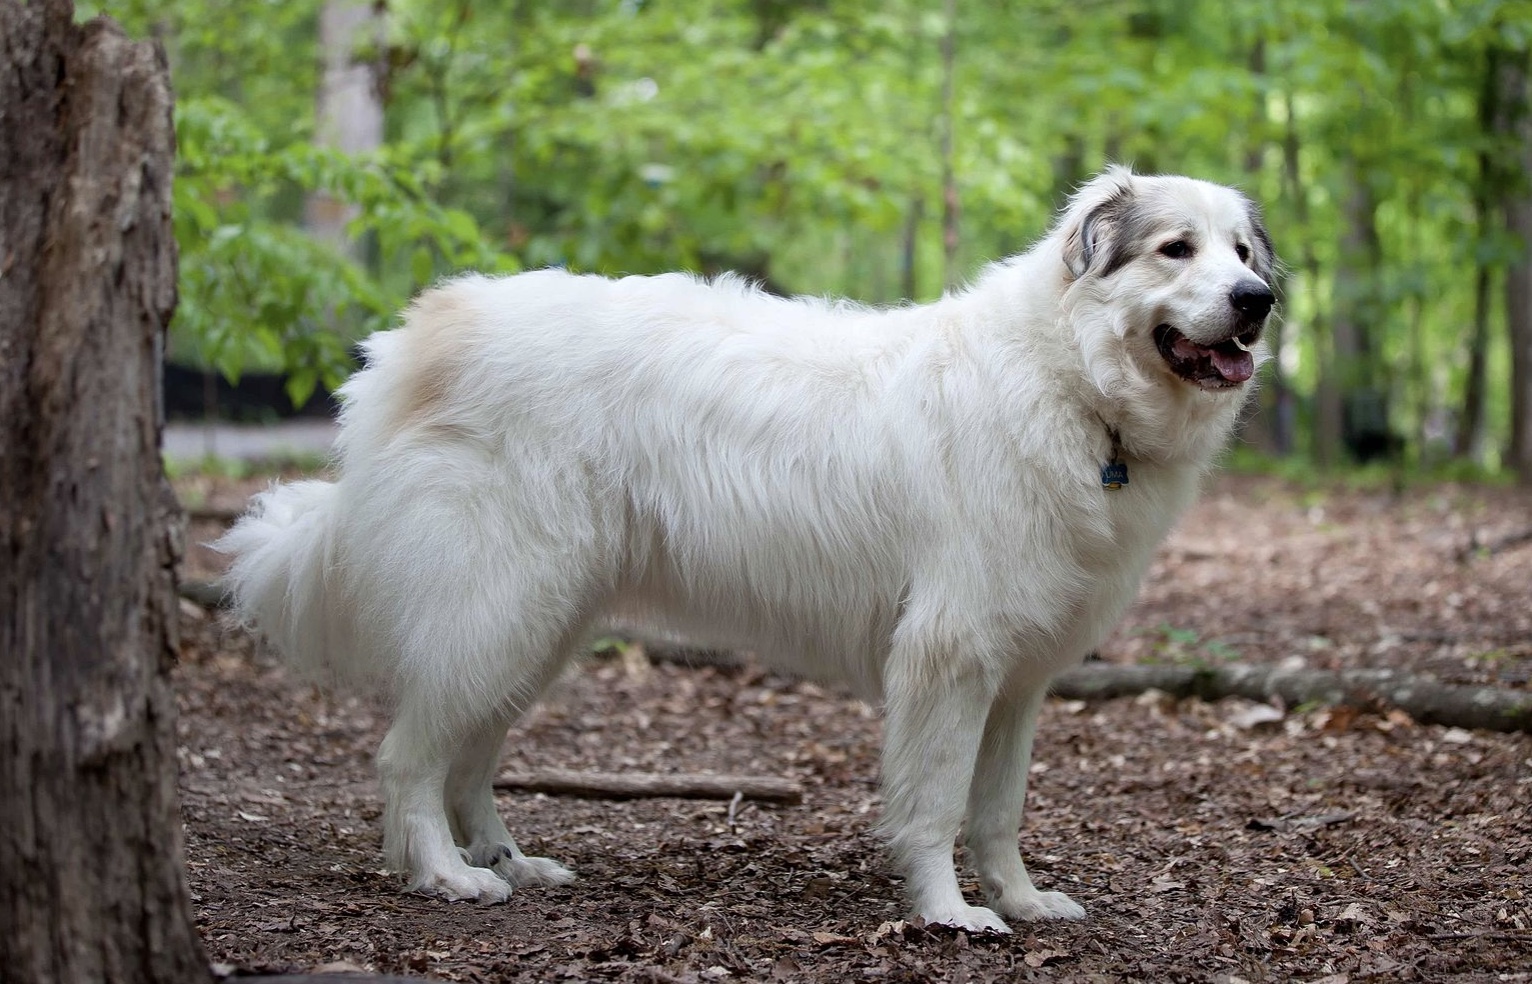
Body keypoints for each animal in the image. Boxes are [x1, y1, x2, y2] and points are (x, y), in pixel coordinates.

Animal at [222, 167, 1274, 925]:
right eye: (1176, 249)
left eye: (1241, 250)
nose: (1258, 298)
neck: (1072, 384)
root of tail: (420, 333)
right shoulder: (951, 657)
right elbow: (937, 804)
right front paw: (949, 915)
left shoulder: (1017, 680)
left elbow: (999, 811)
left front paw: (1019, 901)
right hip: (500, 607)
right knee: (409, 758)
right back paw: (447, 876)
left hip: (536, 625)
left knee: (469, 756)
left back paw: (509, 861)